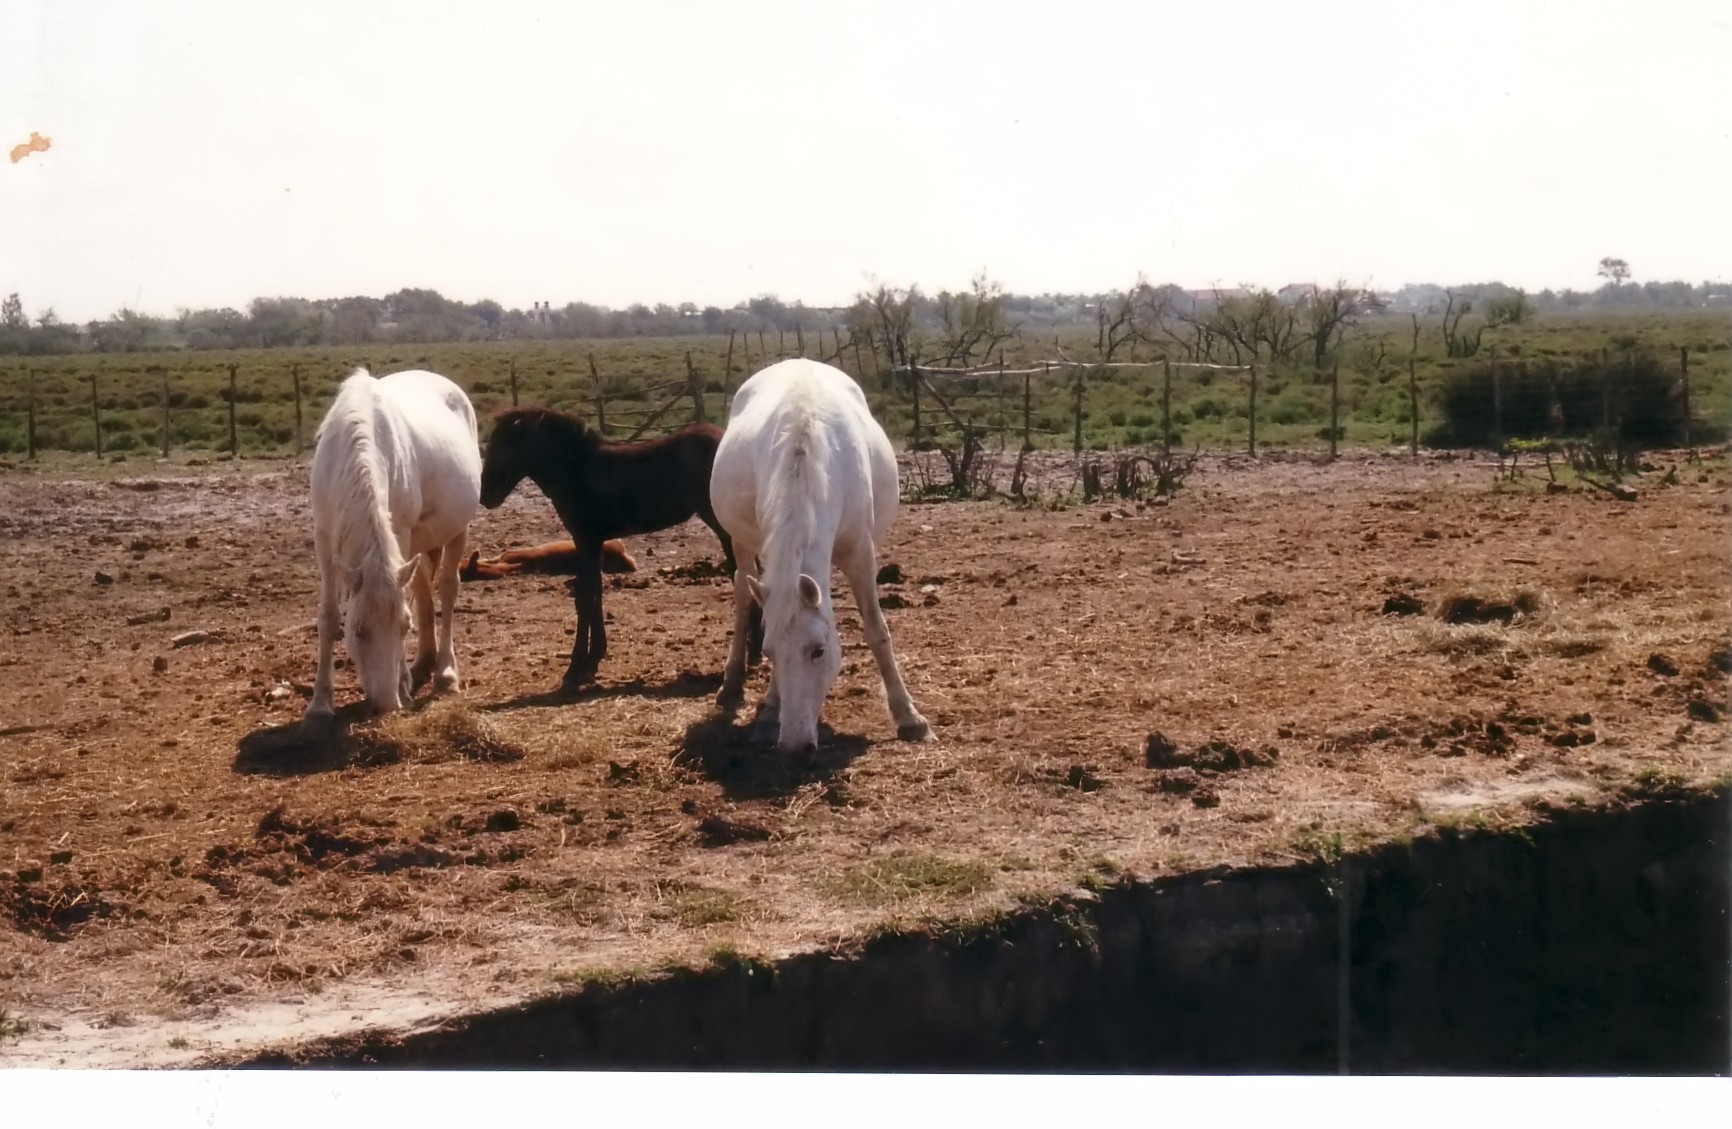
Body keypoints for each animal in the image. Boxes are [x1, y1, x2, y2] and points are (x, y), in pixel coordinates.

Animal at [304, 370, 481, 723]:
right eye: (358, 631)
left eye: (402, 628)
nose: (387, 705)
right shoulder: (324, 538)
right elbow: (328, 617)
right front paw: (320, 703)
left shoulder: (399, 531)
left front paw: (403, 684)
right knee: (424, 590)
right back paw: (423, 661)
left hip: (456, 530)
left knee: (447, 590)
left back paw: (444, 673)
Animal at [706, 356, 935, 754]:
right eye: (769, 653)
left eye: (818, 651)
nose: (794, 748)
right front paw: (770, 711)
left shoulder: (860, 553)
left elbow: (877, 630)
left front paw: (910, 717)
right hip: (741, 542)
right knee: (742, 598)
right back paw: (732, 682)